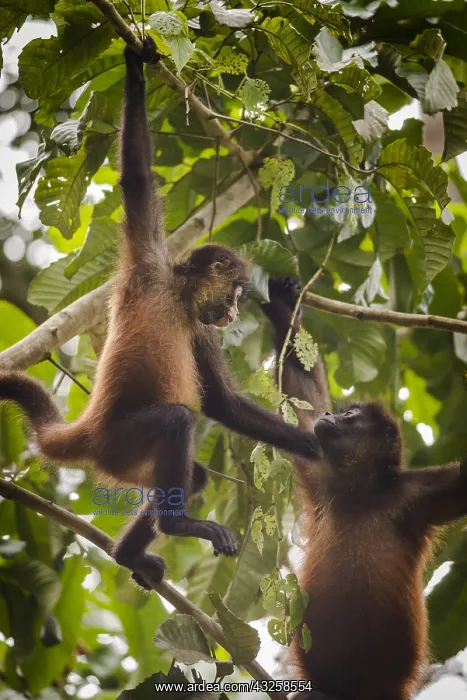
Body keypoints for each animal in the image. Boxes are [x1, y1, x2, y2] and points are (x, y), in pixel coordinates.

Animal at [0, 39, 321, 589]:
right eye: (236, 292)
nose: (233, 313)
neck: (176, 295)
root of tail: (89, 430)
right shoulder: (147, 265)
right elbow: (136, 179)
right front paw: (136, 67)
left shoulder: (200, 328)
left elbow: (222, 404)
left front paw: (322, 447)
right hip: (121, 443)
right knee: (177, 419)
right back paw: (174, 525)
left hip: (132, 461)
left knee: (195, 474)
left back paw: (131, 553)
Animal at [261, 277, 467, 700]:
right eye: (338, 412)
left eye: (350, 417)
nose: (330, 415)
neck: (360, 495)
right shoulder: (321, 470)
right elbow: (302, 398)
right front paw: (283, 306)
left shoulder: (418, 495)